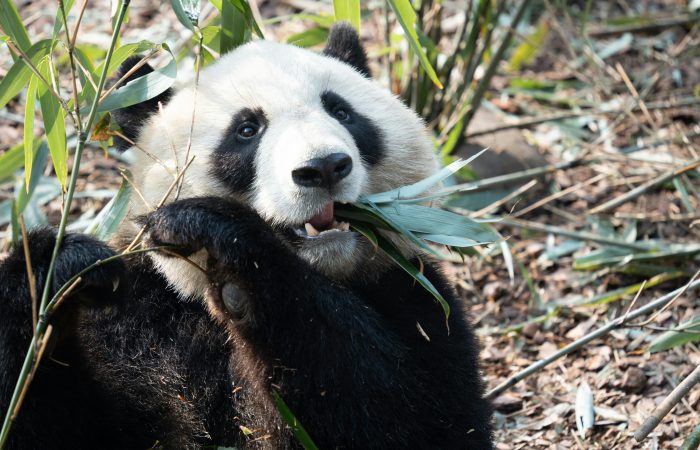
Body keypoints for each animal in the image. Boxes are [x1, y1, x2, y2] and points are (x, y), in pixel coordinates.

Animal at [0, 23, 493, 449]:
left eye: (342, 112)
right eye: (246, 130)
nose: (323, 167)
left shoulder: (419, 303)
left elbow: (407, 418)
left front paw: (223, 246)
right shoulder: (139, 315)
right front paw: (59, 272)